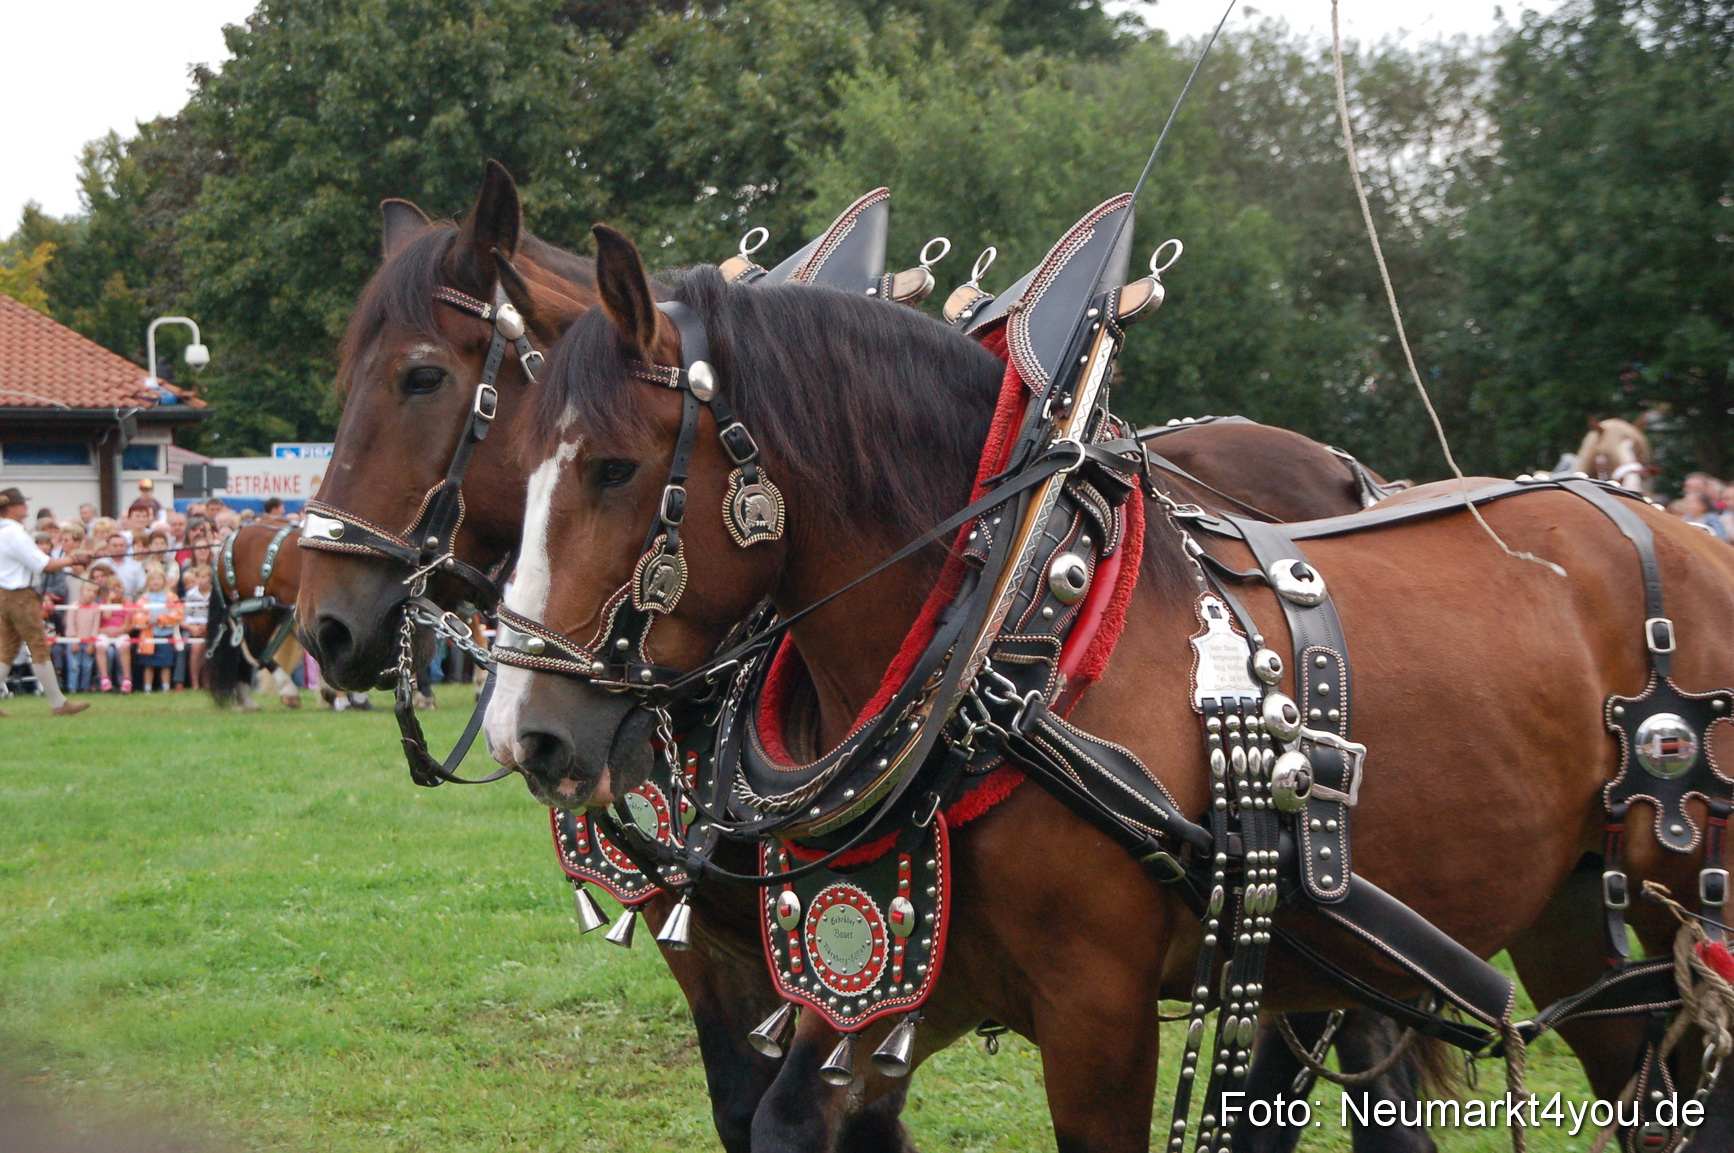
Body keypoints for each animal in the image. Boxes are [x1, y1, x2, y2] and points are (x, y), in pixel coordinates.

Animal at [486, 225, 1734, 1152]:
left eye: (615, 467)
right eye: (519, 459)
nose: (523, 735)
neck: (1010, 629)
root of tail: (1683, 535)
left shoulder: (1098, 1011)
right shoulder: (902, 968)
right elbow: (792, 1113)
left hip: (1686, 888)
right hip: (1571, 914)